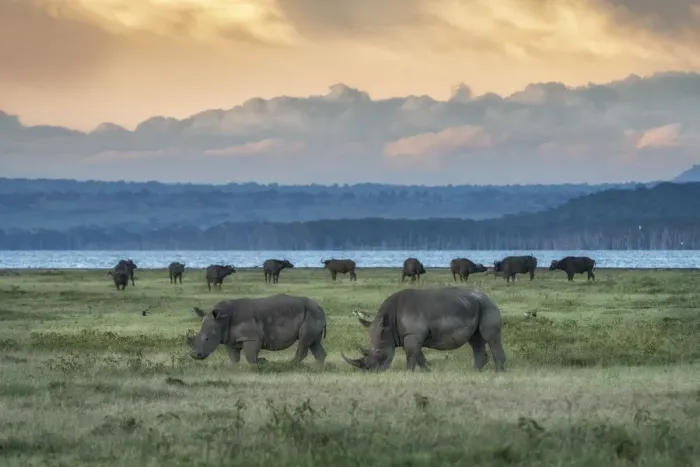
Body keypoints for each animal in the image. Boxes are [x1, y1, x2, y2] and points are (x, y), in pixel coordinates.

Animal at [189, 294, 327, 366]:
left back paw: (291, 365)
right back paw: (318, 368)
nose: (194, 355)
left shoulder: (251, 337)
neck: (221, 320)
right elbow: (234, 358)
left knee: (304, 341)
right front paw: (235, 368)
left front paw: (262, 363)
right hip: (313, 314)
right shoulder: (231, 339)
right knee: (314, 343)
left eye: (207, 339)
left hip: (311, 314)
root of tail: (321, 308)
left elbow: (251, 356)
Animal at [342, 287, 506, 372]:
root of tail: (489, 297)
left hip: (487, 307)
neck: (388, 325)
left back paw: (499, 371)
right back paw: (475, 371)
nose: (371, 371)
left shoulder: (413, 334)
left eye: (379, 352)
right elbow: (418, 354)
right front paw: (427, 371)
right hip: (475, 306)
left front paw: (408, 372)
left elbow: (411, 354)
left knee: (491, 337)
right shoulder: (410, 335)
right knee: (476, 340)